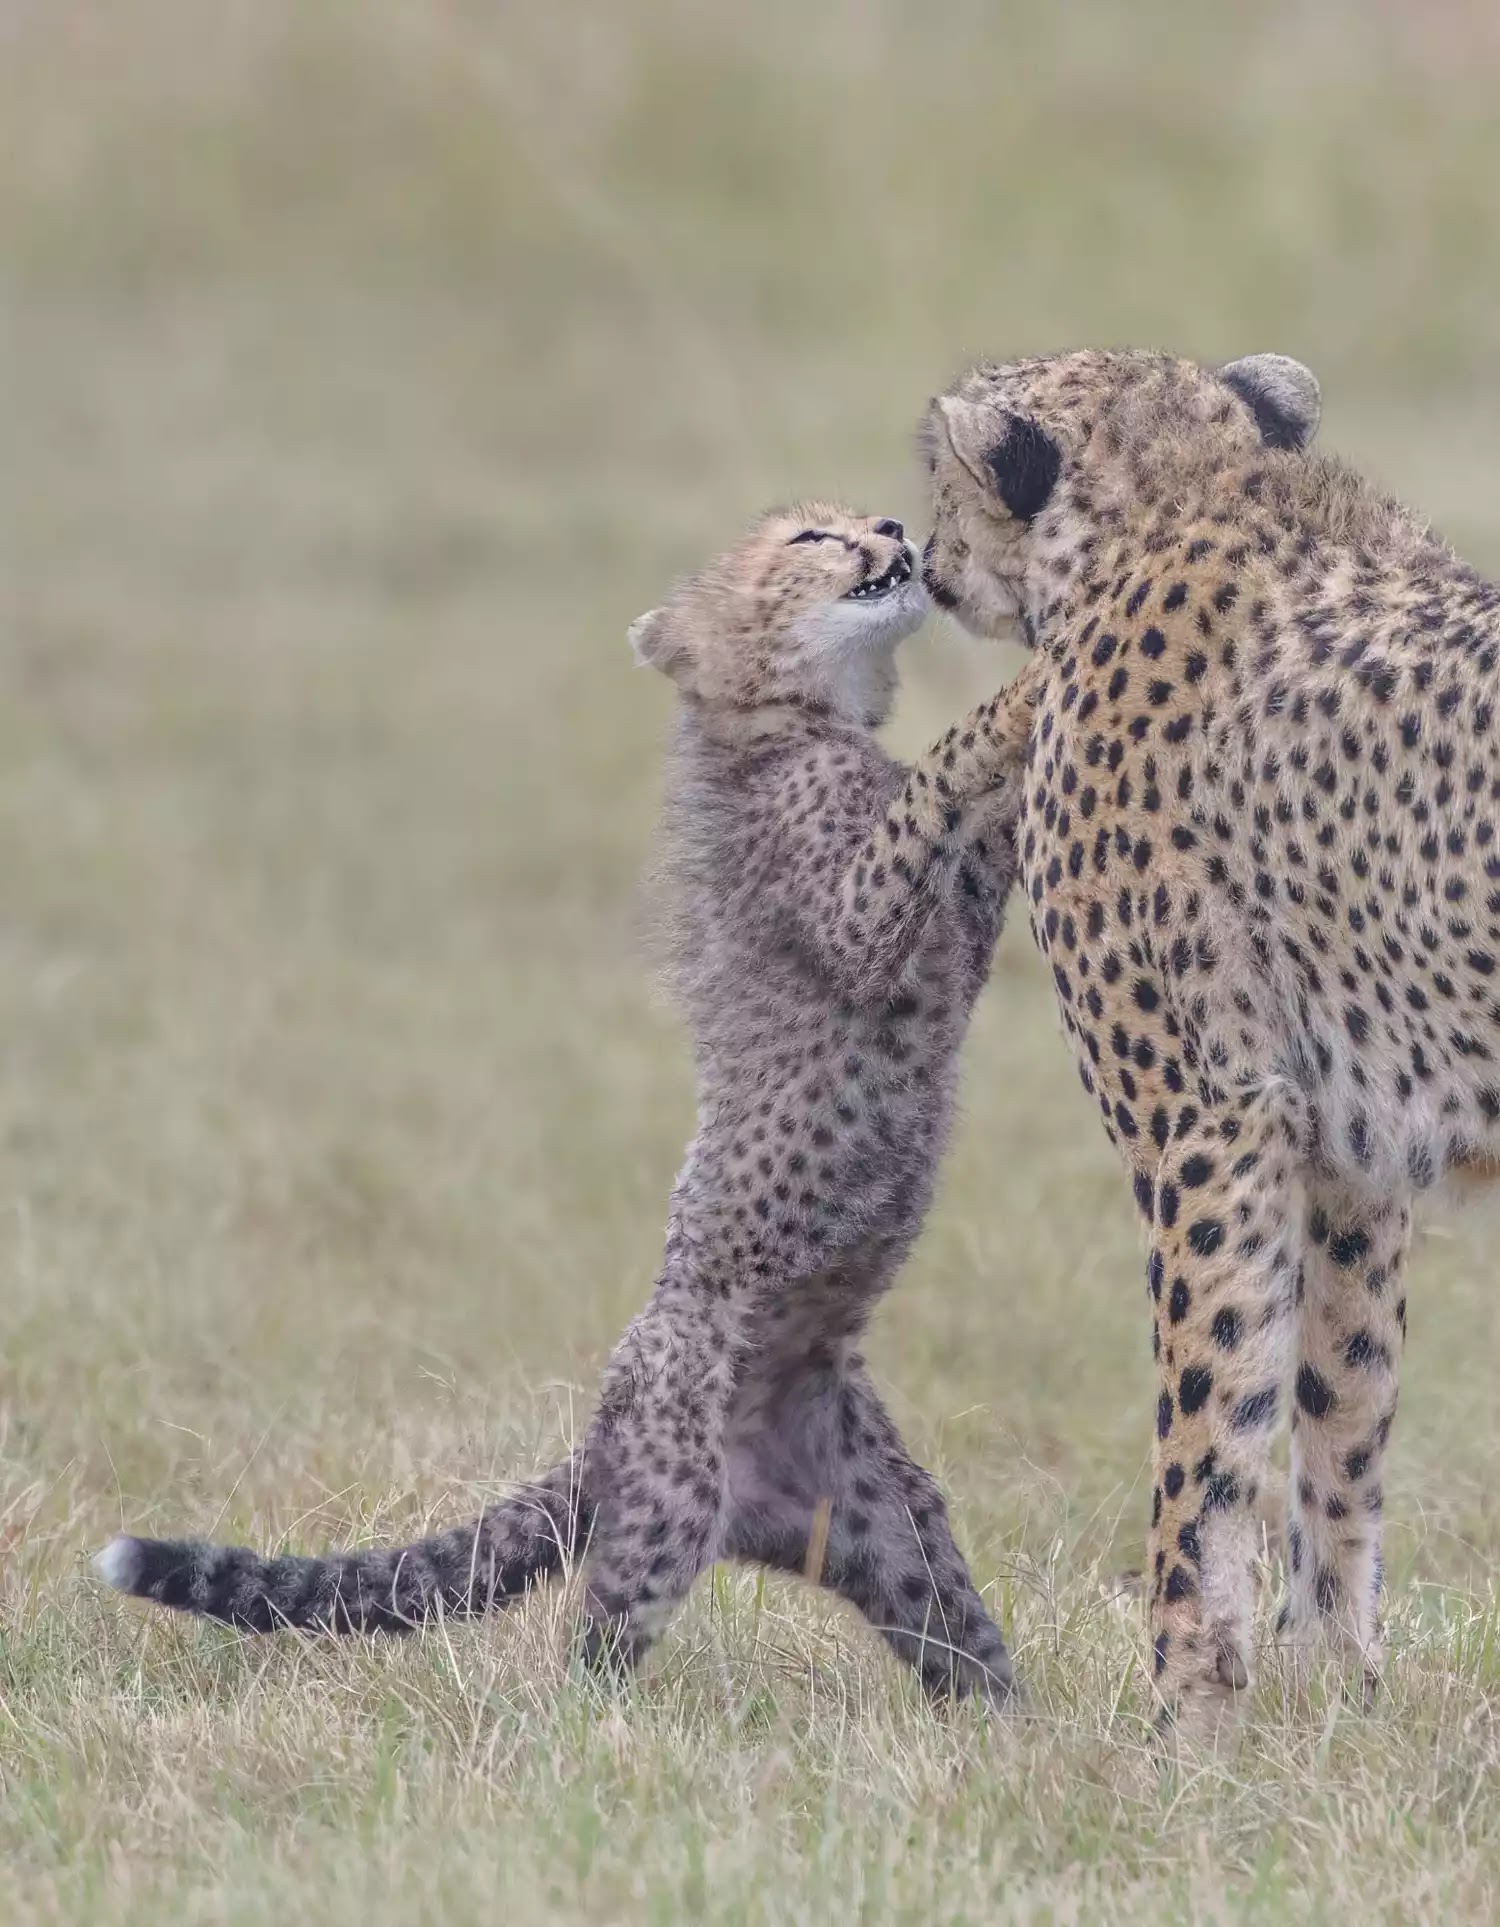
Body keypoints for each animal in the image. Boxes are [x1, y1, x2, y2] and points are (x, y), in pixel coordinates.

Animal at [98, 503, 1040, 1705]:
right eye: (807, 538)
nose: (885, 525)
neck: (792, 726)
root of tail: (604, 1434)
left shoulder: (959, 919)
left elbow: (980, 832)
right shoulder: (858, 913)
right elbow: (935, 786)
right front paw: (1020, 693)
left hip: (887, 1525)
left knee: (955, 1636)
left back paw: (1028, 1737)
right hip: (671, 1511)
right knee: (589, 1655)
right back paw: (597, 1734)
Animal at [920, 344, 1500, 1736]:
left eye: (936, 468)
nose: (917, 552)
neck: (1181, 488)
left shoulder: (1208, 1118)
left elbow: (1211, 1416)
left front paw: (1180, 1712)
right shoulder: (1349, 1148)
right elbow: (1341, 1406)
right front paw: (1333, 1687)